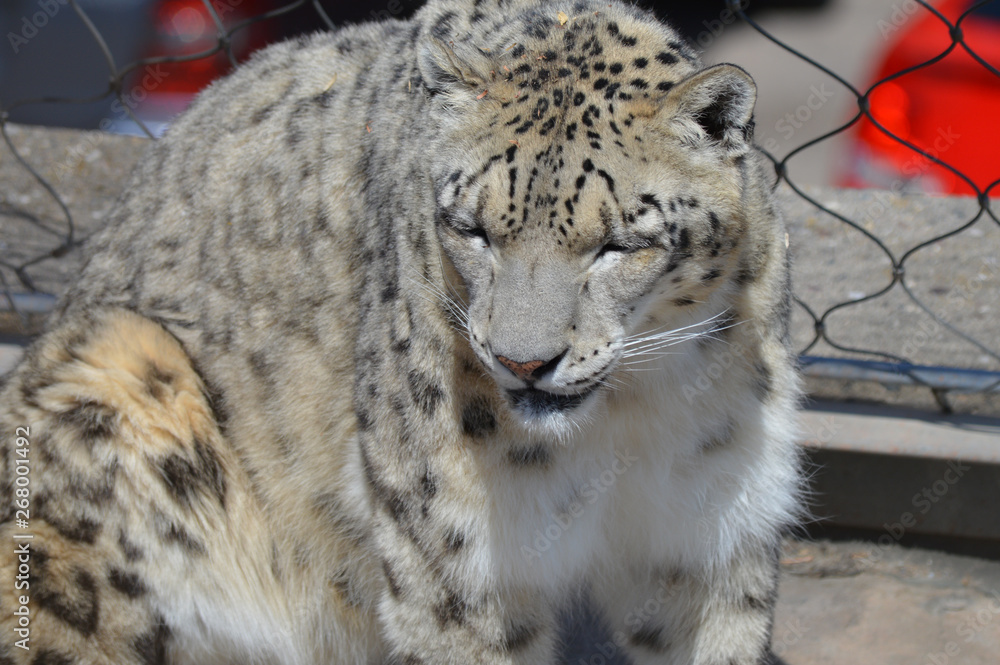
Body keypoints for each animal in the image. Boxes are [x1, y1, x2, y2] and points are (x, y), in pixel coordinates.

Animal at [0, 1, 803, 663]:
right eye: (472, 228)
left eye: (617, 244)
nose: (523, 362)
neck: (626, 419)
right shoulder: (459, 552)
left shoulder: (709, 530)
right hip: (120, 374)